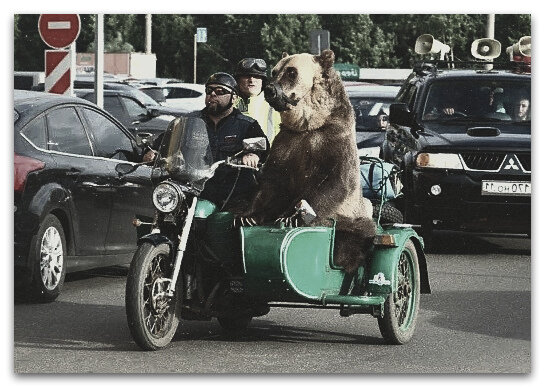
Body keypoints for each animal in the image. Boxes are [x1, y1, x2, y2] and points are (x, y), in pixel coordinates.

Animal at [244, 49, 376, 272]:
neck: (308, 125)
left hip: (354, 216)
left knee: (356, 235)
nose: (270, 90)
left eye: (292, 72)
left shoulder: (332, 140)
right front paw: (247, 216)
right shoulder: (287, 144)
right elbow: (272, 182)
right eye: (274, 71)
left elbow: (334, 182)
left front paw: (290, 216)